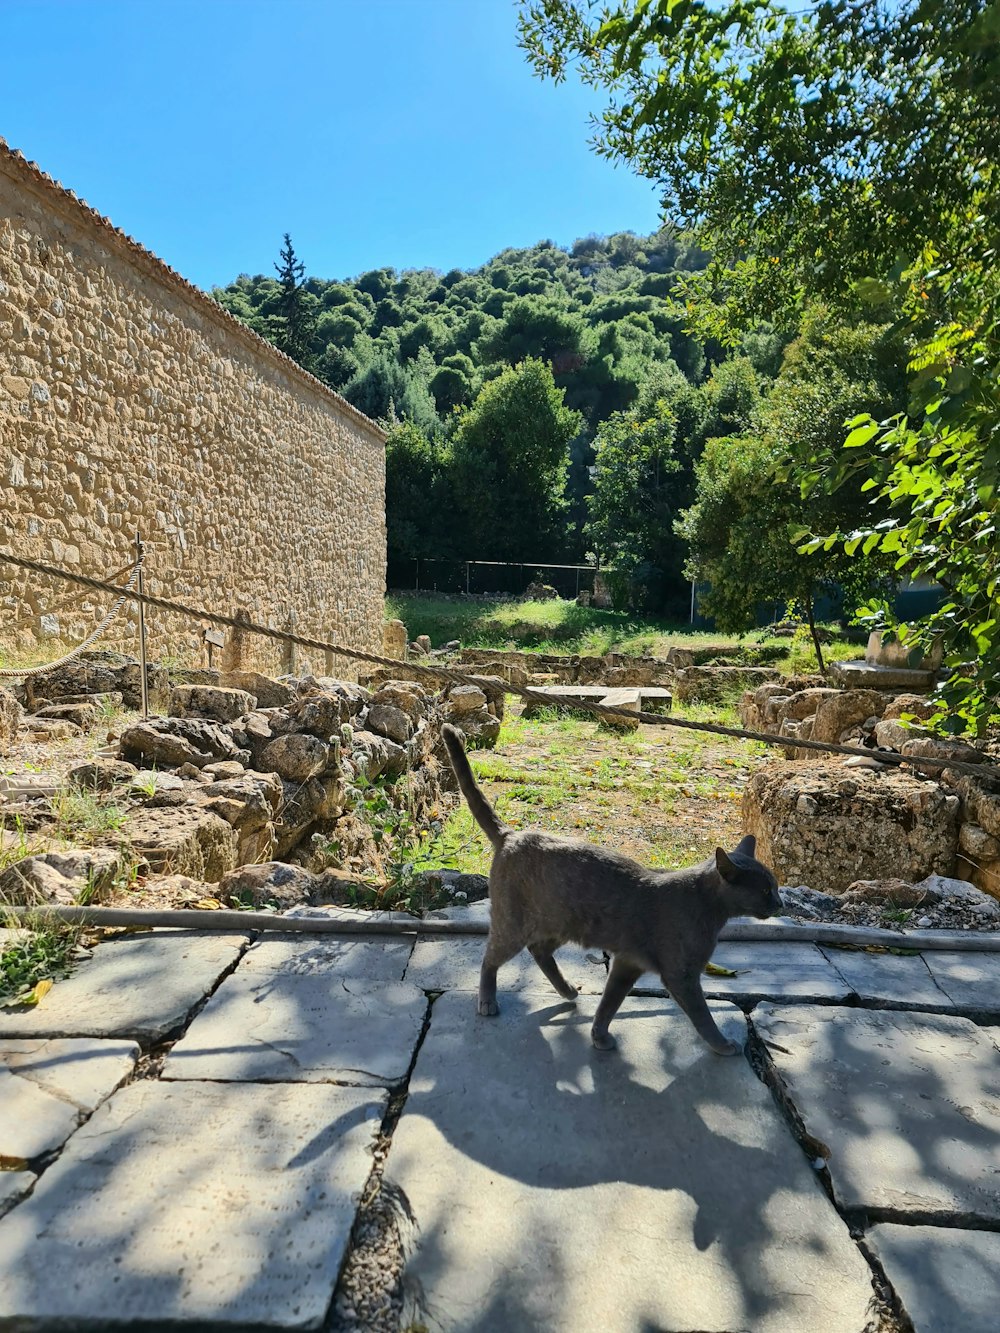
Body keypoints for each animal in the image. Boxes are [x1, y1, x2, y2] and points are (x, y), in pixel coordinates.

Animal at [445, 725, 784, 1055]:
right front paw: (723, 1045)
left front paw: (599, 1035)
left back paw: (567, 990)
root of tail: (511, 834)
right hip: (515, 922)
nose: (780, 904)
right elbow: (702, 1015)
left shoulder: (627, 962)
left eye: (776, 887)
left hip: (560, 922)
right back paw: (488, 1001)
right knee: (491, 958)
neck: (708, 909)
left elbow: (610, 1002)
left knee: (539, 951)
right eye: (766, 891)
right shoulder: (681, 975)